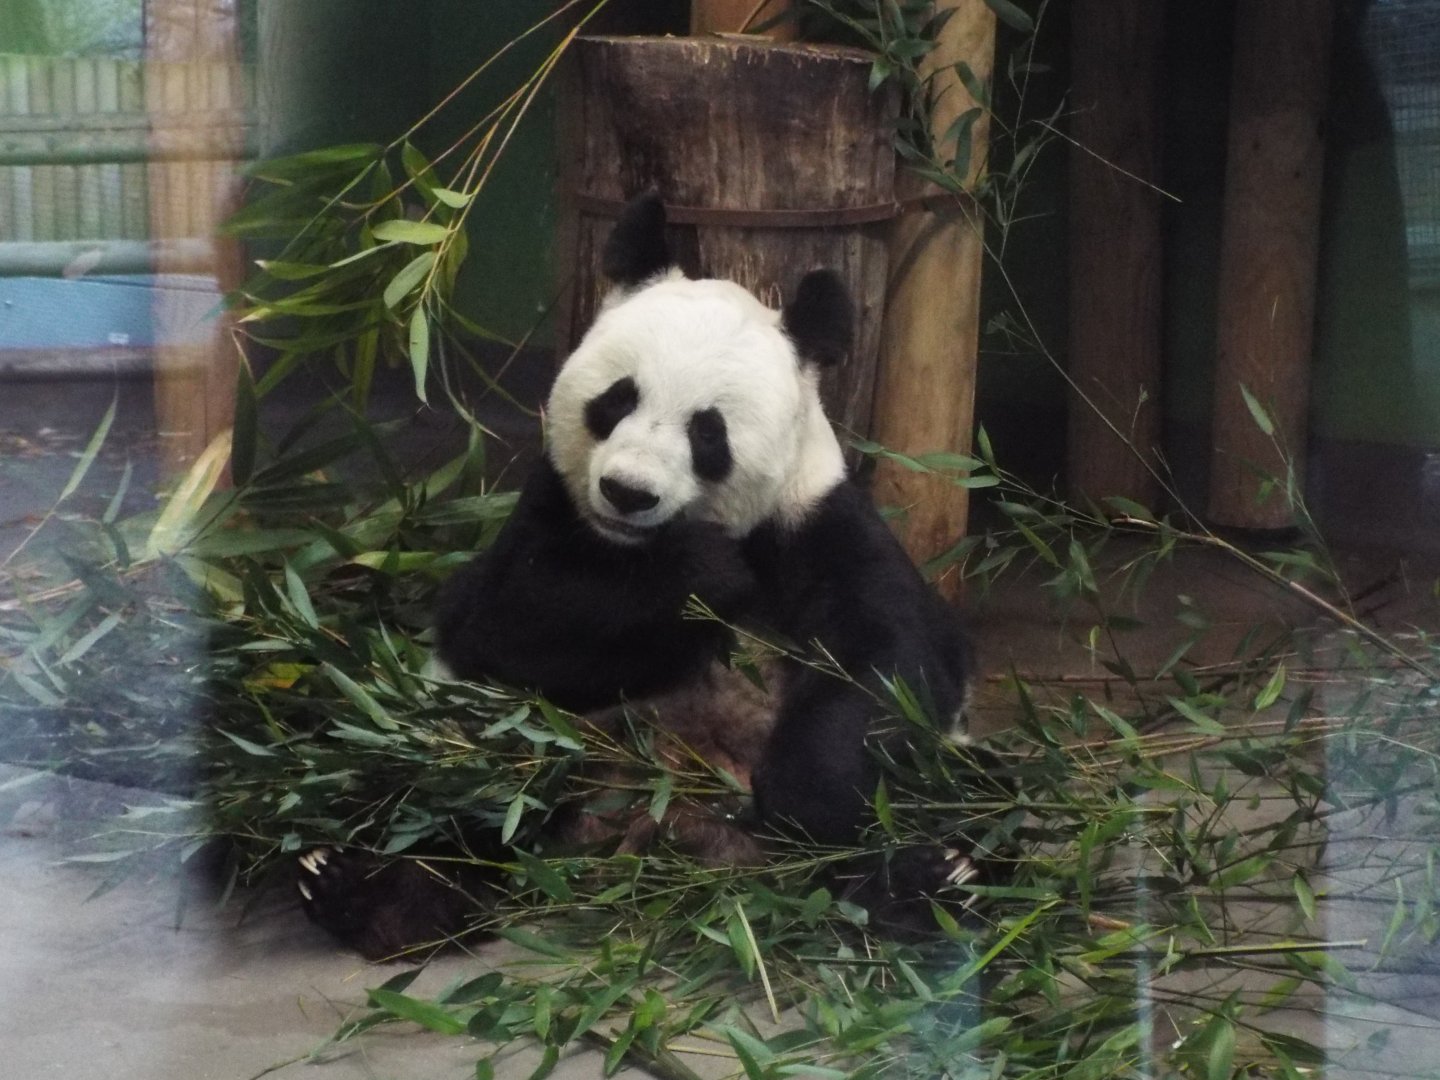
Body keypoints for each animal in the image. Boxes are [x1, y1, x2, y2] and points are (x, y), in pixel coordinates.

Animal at [298, 194, 980, 958]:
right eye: (616, 400)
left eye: (707, 432)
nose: (628, 492)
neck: (637, 544)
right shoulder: (547, 516)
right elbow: (511, 626)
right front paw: (700, 574)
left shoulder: (815, 519)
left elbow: (890, 657)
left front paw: (810, 798)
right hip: (495, 749)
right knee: (453, 793)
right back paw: (370, 892)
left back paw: (928, 886)